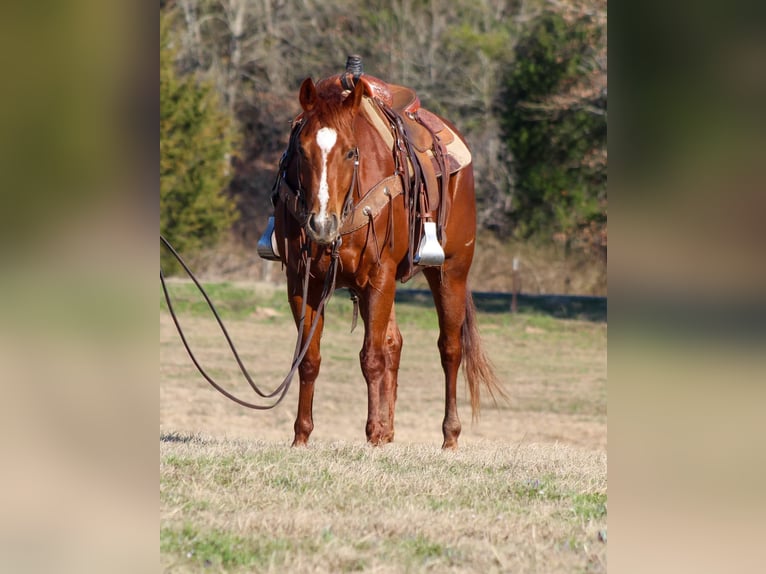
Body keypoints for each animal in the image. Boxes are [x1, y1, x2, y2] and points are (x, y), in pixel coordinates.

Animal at [268, 70, 508, 452]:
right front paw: (302, 435)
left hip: (450, 272)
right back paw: (390, 431)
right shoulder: (301, 280)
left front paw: (373, 432)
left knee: (450, 348)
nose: (321, 224)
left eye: (351, 152)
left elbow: (372, 357)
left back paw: (449, 436)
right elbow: (309, 358)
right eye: (300, 151)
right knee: (395, 343)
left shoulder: (379, 276)